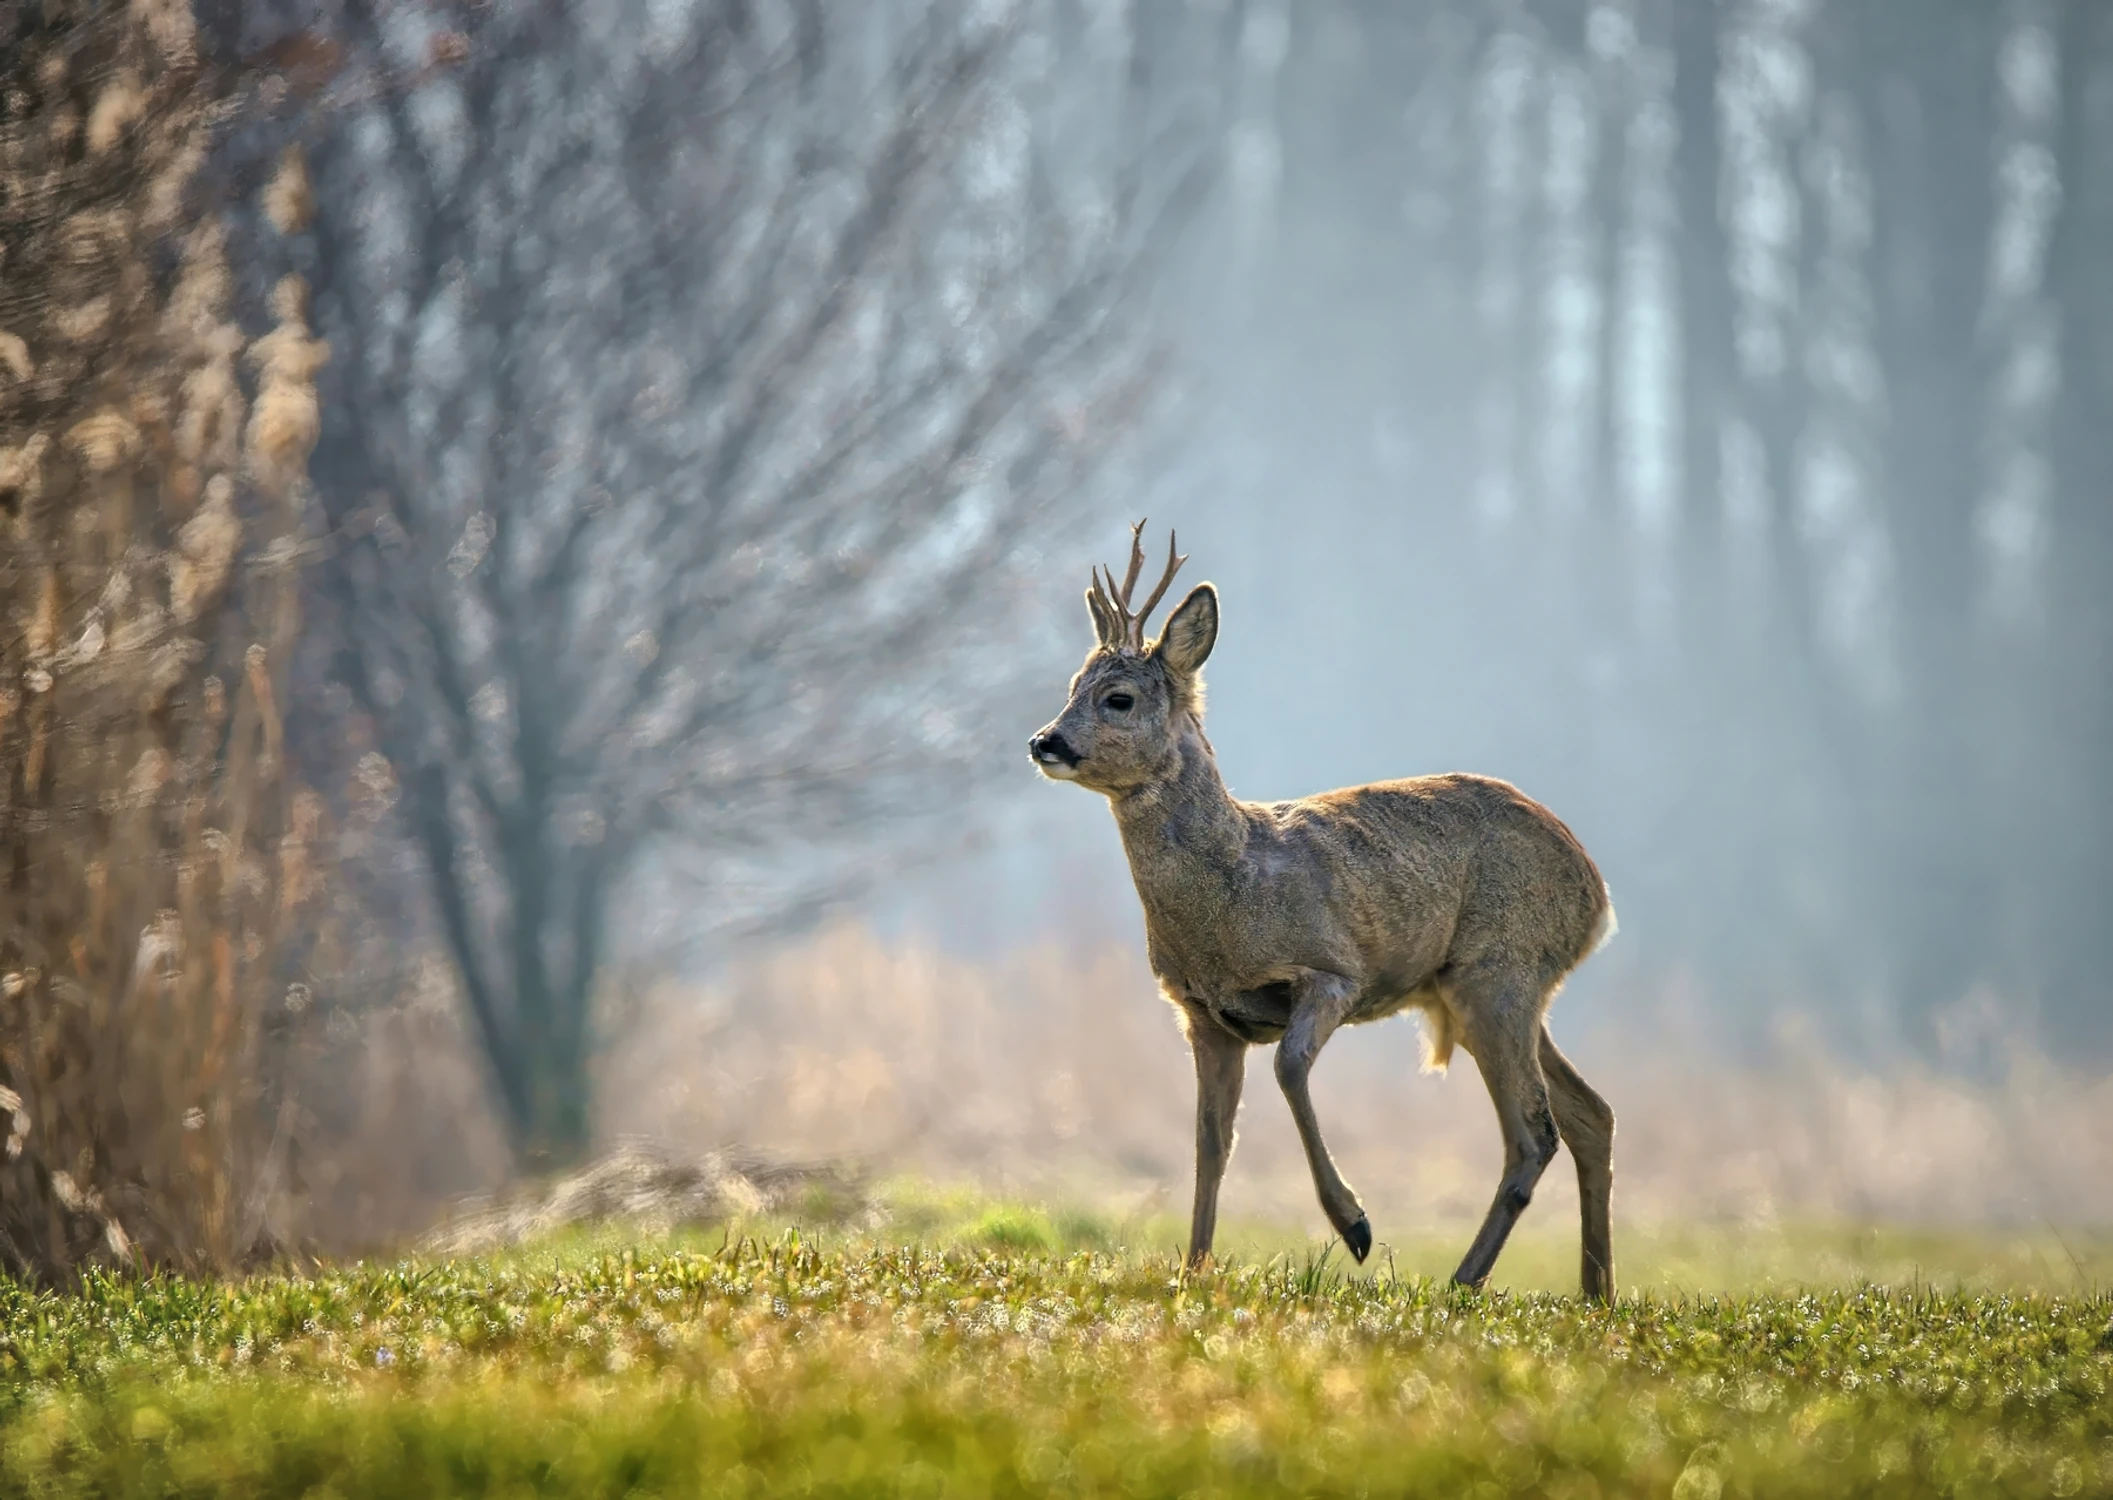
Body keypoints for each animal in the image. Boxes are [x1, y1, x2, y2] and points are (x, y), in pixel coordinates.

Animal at [1026, 523, 1614, 1301]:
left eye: (1117, 698)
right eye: (1071, 688)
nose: (1044, 742)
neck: (1231, 891)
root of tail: (1595, 891)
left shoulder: (1333, 973)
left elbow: (1289, 1071)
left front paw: (1354, 1225)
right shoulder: (1201, 1014)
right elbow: (1210, 1140)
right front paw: (1193, 1269)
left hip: (1499, 971)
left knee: (1533, 1132)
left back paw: (1463, 1283)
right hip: (1486, 989)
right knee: (1590, 1115)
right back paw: (1596, 1294)